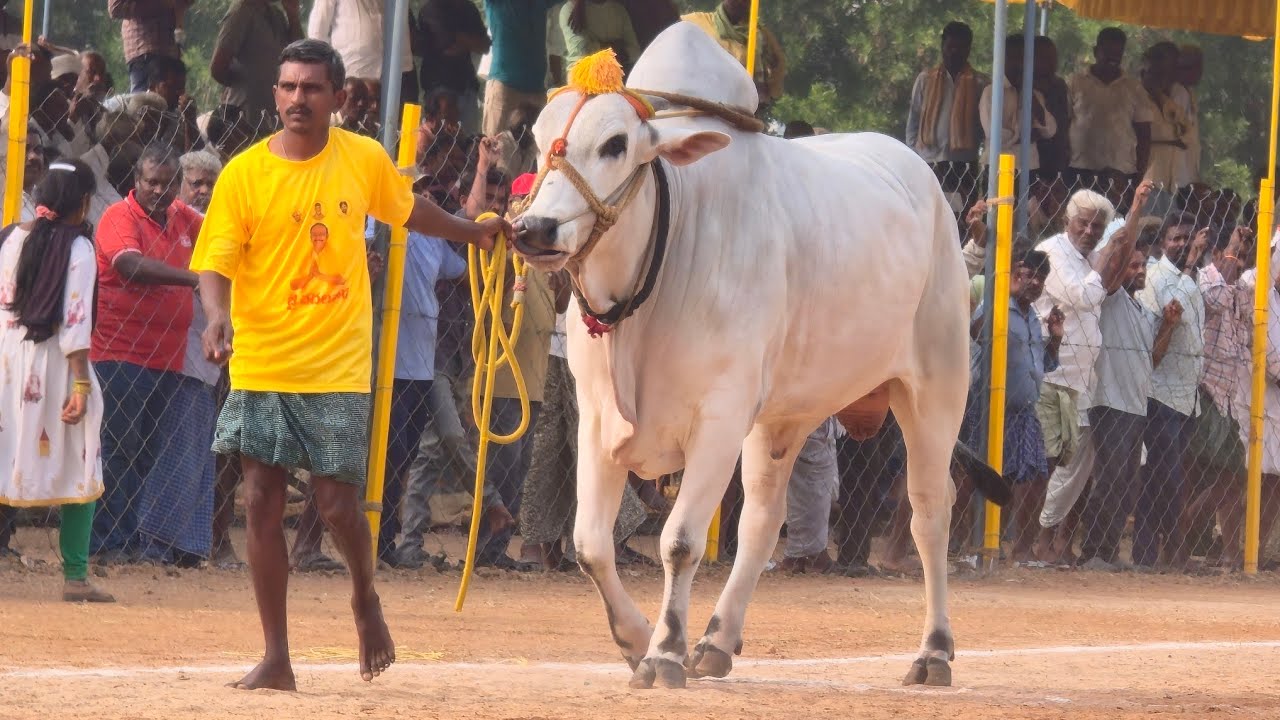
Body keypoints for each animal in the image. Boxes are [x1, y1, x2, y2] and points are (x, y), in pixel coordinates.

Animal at [510, 23, 1000, 690]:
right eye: (538, 142)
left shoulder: (719, 416)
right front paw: (637, 640)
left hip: (935, 386)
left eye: (615, 144)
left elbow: (680, 541)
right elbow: (590, 544)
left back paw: (934, 653)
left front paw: (664, 652)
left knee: (930, 512)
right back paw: (717, 640)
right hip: (784, 417)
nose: (534, 229)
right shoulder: (597, 417)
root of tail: (919, 174)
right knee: (764, 519)